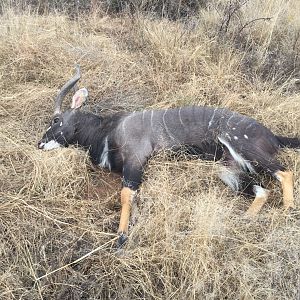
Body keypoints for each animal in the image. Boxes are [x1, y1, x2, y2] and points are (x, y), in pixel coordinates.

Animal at [38, 65, 298, 246]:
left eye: (56, 120)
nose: (40, 144)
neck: (108, 131)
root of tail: (273, 136)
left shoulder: (135, 161)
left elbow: (126, 195)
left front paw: (121, 236)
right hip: (226, 168)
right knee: (262, 191)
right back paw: (244, 219)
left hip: (242, 146)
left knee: (285, 172)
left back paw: (286, 211)